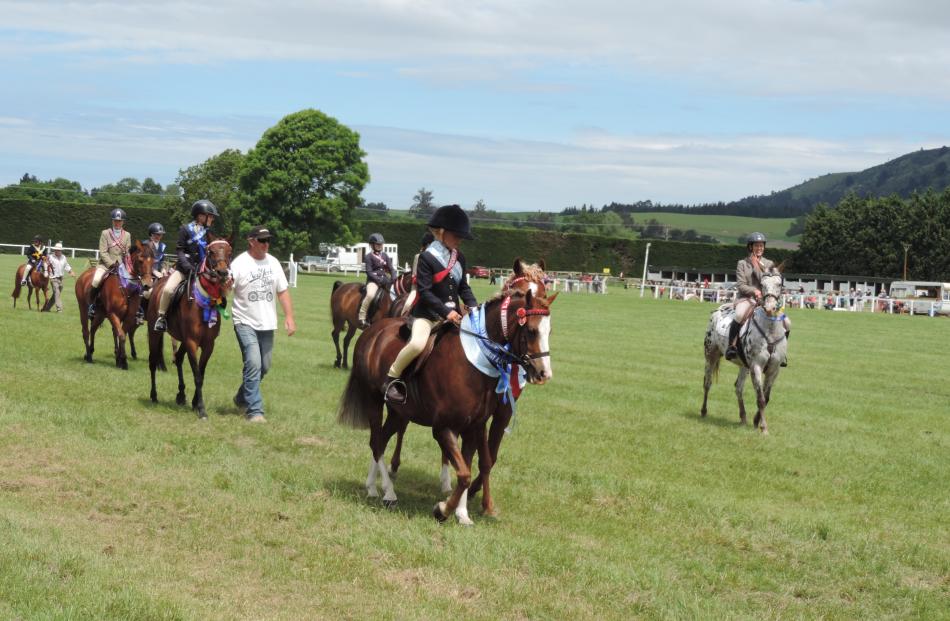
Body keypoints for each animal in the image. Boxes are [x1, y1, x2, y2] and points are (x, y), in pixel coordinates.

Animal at [147, 235, 234, 418]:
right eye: (210, 252)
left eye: (229, 252)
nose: (223, 273)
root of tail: (159, 283)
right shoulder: (192, 342)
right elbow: (197, 375)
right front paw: (201, 409)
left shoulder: (208, 344)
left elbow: (201, 372)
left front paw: (195, 402)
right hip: (154, 333)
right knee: (152, 361)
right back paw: (154, 395)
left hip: (183, 340)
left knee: (178, 358)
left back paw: (181, 394)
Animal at [338, 286, 556, 524]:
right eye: (532, 331)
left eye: (549, 332)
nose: (544, 373)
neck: (474, 361)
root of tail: (372, 332)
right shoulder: (443, 428)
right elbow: (464, 473)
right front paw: (443, 510)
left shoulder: (476, 426)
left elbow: (477, 464)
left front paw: (464, 514)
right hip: (374, 400)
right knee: (377, 442)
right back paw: (389, 493)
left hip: (398, 412)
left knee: (381, 440)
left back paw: (372, 487)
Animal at [700, 264, 788, 434]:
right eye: (762, 284)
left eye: (779, 284)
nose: (769, 307)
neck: (770, 330)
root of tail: (719, 308)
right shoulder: (757, 366)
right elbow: (760, 398)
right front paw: (763, 428)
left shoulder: (774, 369)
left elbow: (766, 397)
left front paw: (756, 421)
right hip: (711, 355)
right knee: (707, 382)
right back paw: (703, 411)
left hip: (744, 366)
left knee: (738, 387)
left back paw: (743, 417)